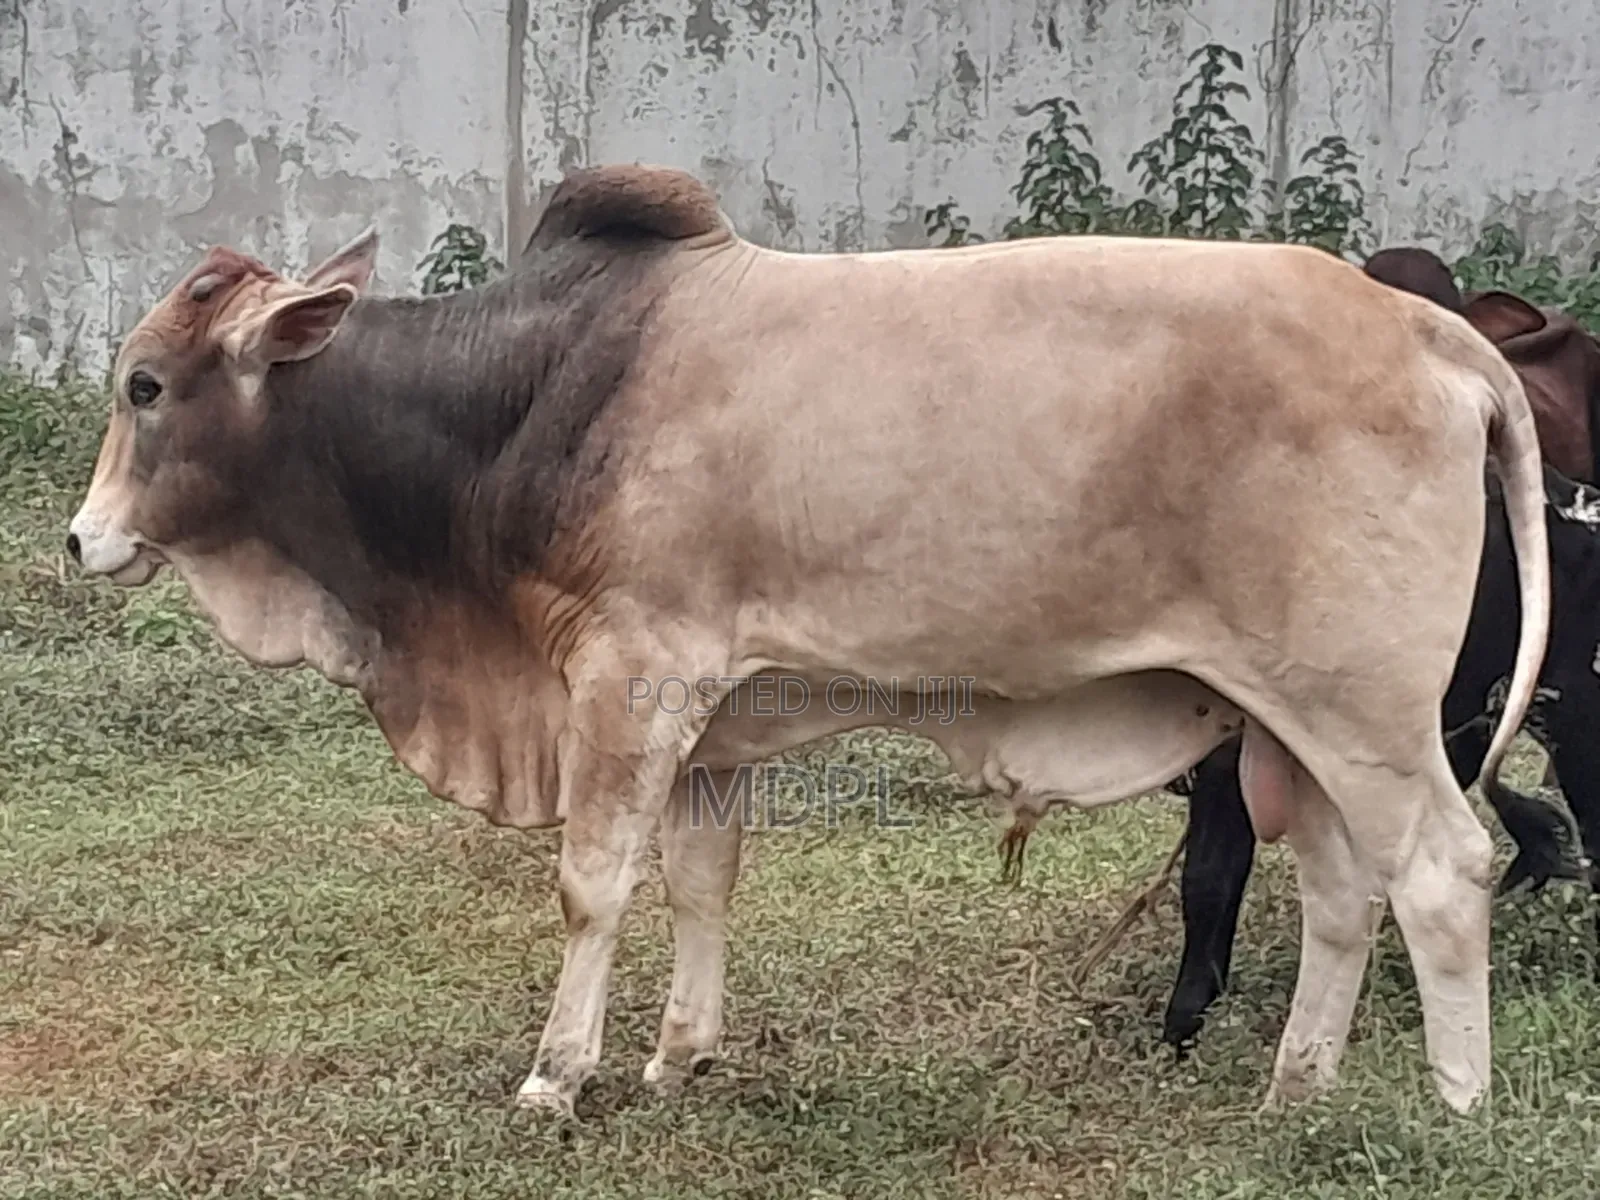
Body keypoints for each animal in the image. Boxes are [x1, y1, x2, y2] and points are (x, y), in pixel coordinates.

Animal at [65, 164, 1549, 1118]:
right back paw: (1295, 1088)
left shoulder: (627, 683)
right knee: (1346, 892)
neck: (529, 395)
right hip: (1298, 727)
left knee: (1443, 873)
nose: (81, 541)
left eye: (145, 386)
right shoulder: (709, 727)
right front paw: (679, 1056)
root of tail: (1434, 330)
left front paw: (558, 1075)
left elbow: (593, 885)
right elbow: (700, 883)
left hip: (1362, 715)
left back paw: (1457, 1105)